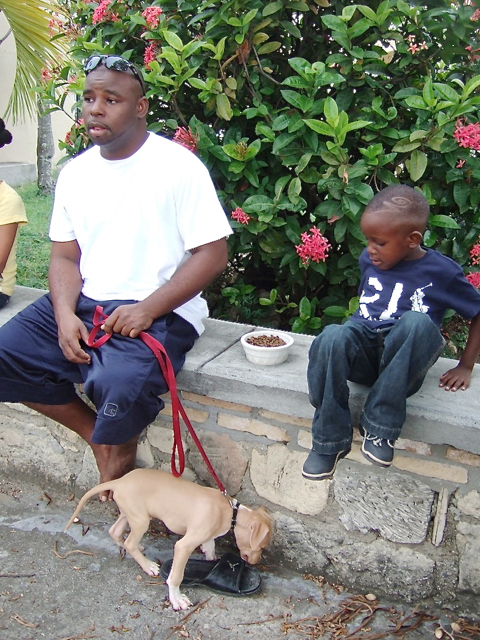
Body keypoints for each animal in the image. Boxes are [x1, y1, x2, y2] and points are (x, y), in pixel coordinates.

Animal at [65, 468, 272, 608]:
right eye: (262, 547)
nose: (256, 562)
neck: (230, 511)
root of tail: (119, 482)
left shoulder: (206, 533)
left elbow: (210, 544)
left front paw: (212, 559)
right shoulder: (183, 545)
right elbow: (176, 576)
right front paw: (176, 599)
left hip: (130, 513)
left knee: (115, 532)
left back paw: (135, 549)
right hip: (141, 520)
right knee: (129, 542)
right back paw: (147, 565)